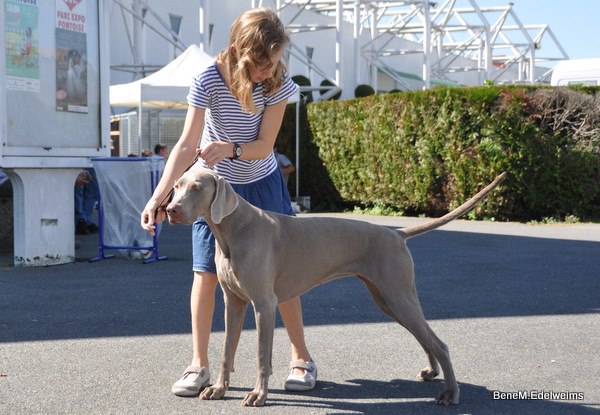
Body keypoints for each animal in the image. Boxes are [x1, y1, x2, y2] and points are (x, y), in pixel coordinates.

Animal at [165, 167, 506, 408]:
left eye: (197, 187)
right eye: (177, 186)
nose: (170, 210)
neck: (232, 230)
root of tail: (396, 234)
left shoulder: (264, 303)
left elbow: (263, 356)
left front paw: (258, 395)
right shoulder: (233, 302)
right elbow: (226, 351)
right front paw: (218, 389)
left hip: (397, 294)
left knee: (440, 343)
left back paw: (450, 393)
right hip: (388, 299)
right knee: (426, 338)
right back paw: (432, 373)